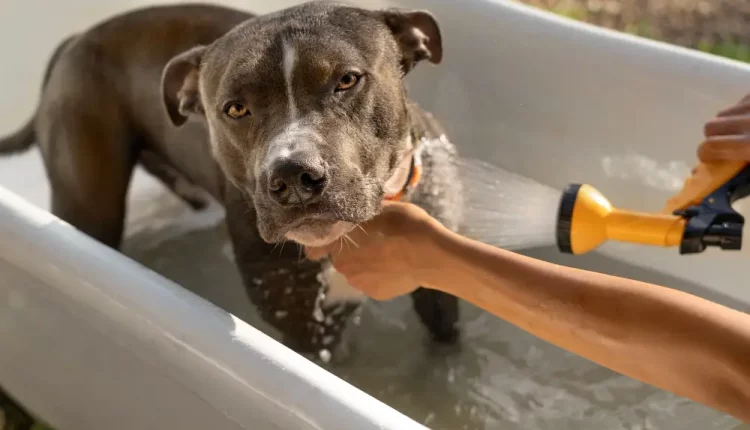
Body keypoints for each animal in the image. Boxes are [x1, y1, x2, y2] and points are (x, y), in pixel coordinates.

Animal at [0, 1, 464, 362]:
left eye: (347, 80)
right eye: (235, 108)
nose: (292, 176)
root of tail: (74, 40)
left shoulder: (439, 291)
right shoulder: (306, 326)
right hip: (88, 200)